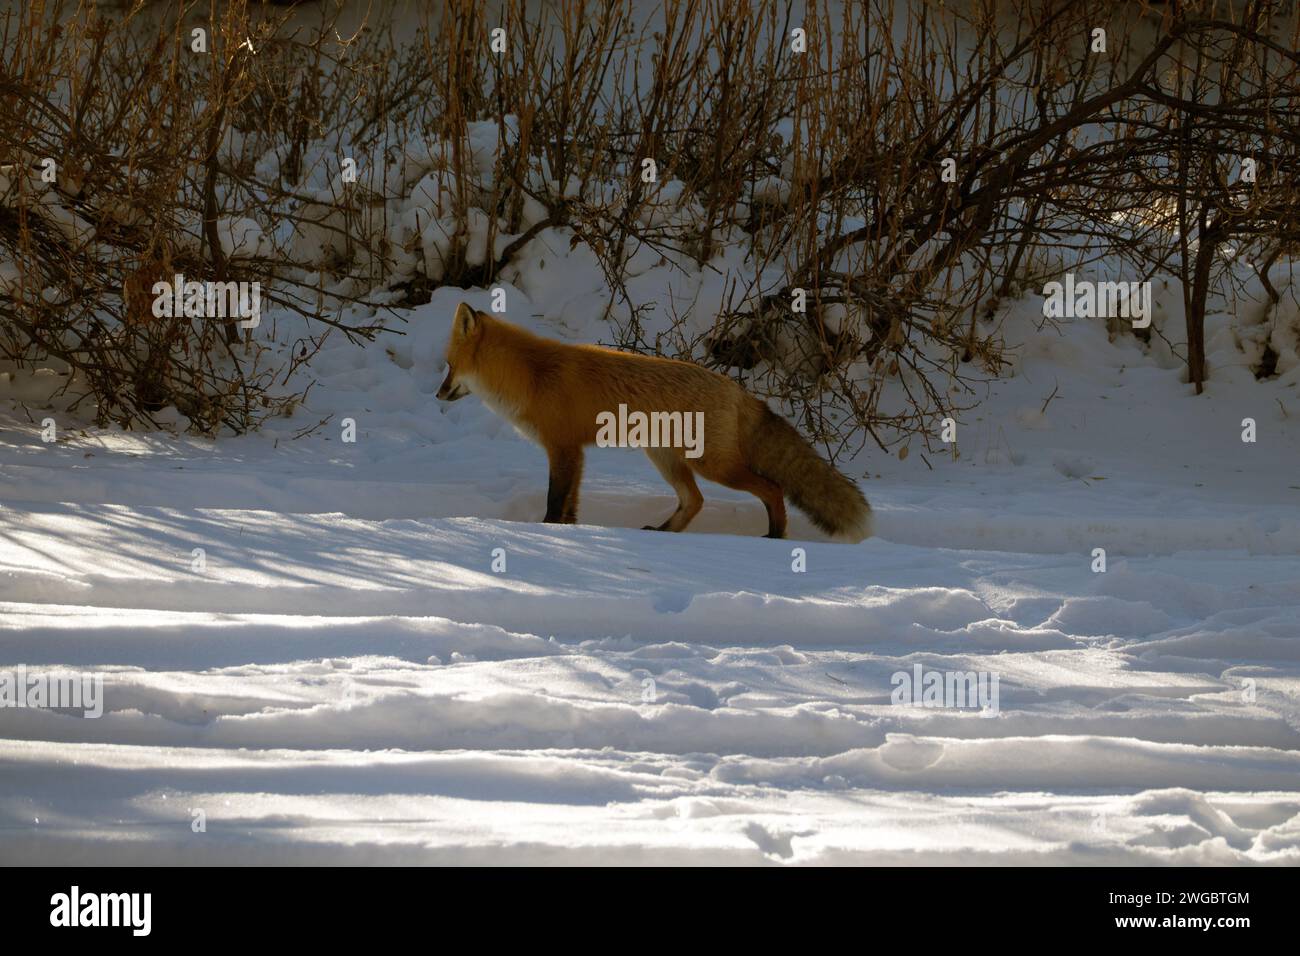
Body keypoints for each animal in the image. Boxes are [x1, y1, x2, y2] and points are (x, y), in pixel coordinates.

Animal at [436, 303, 873, 541]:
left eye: (448, 366)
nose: (438, 396)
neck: (531, 376)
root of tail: (737, 390)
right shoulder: (575, 452)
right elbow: (570, 506)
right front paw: (569, 532)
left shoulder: (562, 448)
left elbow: (554, 500)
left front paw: (544, 531)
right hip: (665, 458)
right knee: (695, 500)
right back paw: (665, 534)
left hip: (712, 465)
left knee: (773, 488)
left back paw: (776, 535)